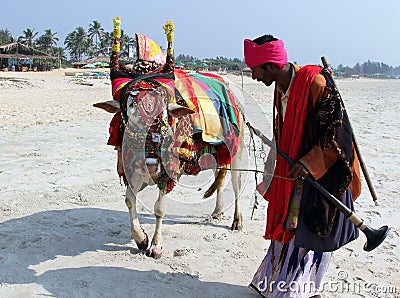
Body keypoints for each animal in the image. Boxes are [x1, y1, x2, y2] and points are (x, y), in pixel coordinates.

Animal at [94, 18, 244, 258]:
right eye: (129, 117)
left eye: (164, 116)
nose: (151, 163)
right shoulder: (132, 171)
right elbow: (129, 200)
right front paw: (141, 238)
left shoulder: (168, 173)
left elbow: (159, 208)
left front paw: (155, 245)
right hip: (215, 154)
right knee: (219, 179)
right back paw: (217, 211)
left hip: (236, 150)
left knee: (236, 184)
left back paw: (237, 220)